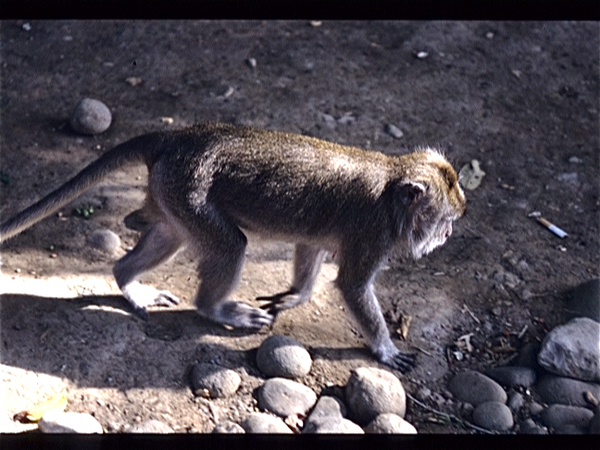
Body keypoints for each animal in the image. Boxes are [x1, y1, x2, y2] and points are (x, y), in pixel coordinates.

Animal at [0, 121, 466, 370]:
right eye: (446, 221)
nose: (447, 236)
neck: (392, 185)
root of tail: (179, 136)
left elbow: (310, 246)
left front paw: (296, 295)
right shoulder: (373, 233)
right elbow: (352, 285)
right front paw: (384, 349)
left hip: (170, 189)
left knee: (169, 232)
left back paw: (128, 278)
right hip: (188, 188)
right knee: (229, 246)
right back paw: (216, 309)